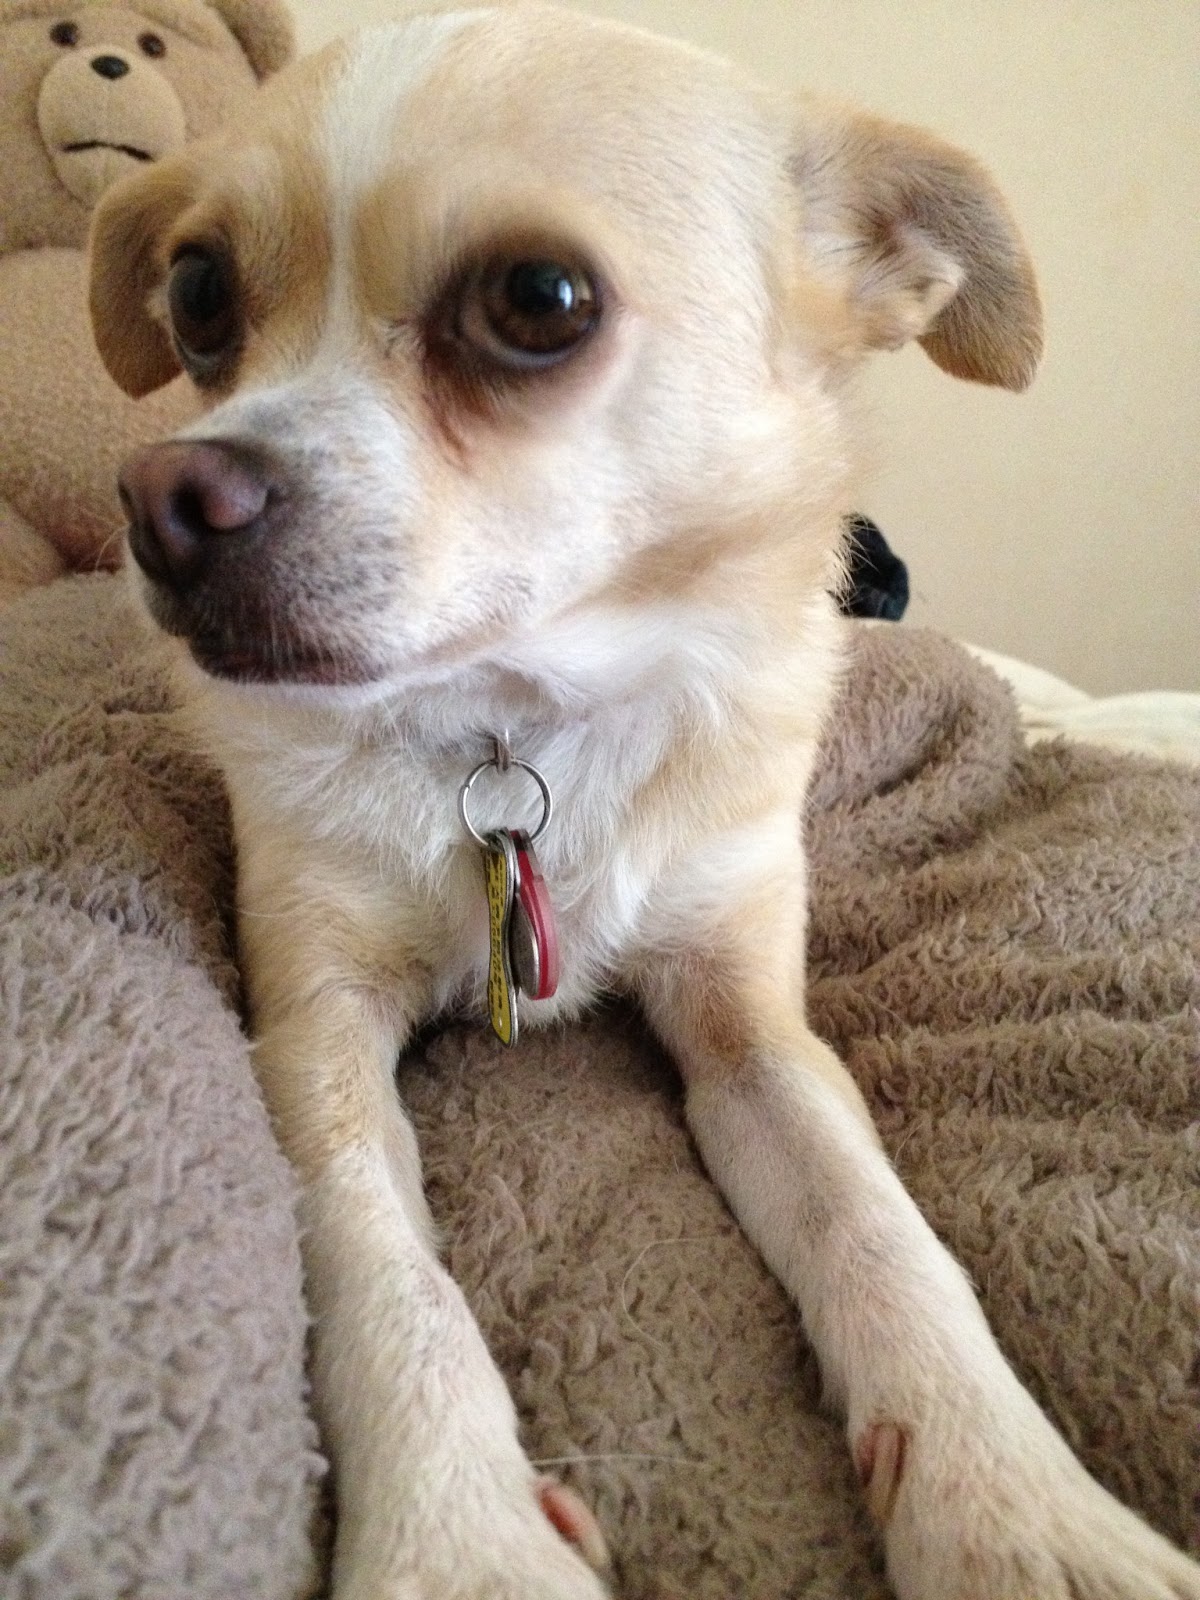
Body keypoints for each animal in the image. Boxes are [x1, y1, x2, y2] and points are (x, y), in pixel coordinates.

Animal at [88, 7, 1200, 1597]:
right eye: (195, 296)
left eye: (537, 301)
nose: (163, 500)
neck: (520, 723)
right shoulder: (312, 1031)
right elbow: (380, 1271)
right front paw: (461, 1542)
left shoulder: (753, 1033)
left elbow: (882, 1230)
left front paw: (1015, 1508)